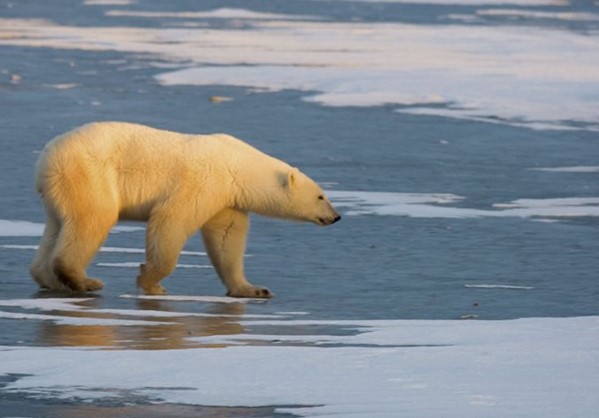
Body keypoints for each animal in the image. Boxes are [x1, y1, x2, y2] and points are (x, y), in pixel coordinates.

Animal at [30, 121, 340, 298]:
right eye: (321, 196)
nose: (336, 217)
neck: (237, 166)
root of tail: (46, 158)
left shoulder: (227, 199)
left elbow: (227, 239)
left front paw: (253, 289)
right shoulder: (204, 180)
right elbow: (171, 220)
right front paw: (151, 281)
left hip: (60, 190)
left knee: (57, 227)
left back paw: (49, 279)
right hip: (90, 174)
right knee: (94, 218)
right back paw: (85, 281)